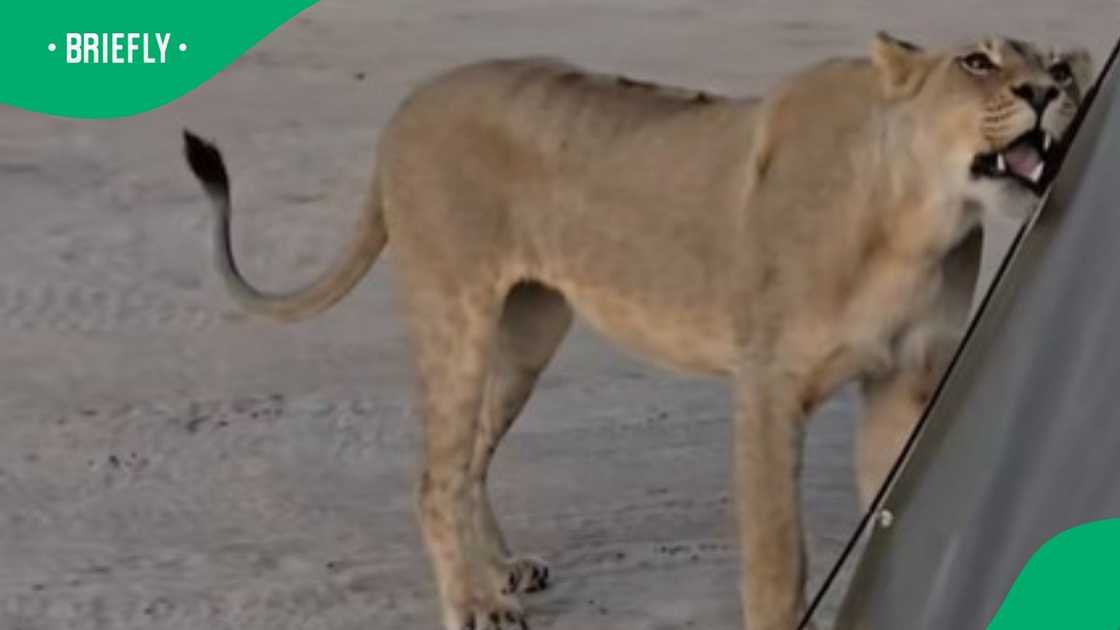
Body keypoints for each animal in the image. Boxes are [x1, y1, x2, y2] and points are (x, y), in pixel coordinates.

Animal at [183, 33, 1090, 630]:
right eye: (978, 62)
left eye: (1054, 62)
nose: (1055, 88)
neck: (917, 222)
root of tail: (403, 110)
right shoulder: (768, 387)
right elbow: (777, 557)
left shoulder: (904, 383)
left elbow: (891, 509)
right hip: (456, 310)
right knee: (434, 475)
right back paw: (475, 603)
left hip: (528, 332)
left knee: (471, 456)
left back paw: (502, 570)